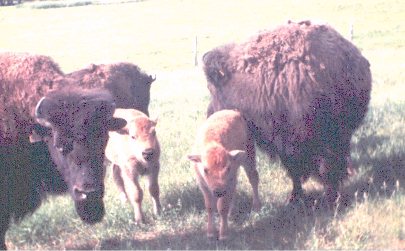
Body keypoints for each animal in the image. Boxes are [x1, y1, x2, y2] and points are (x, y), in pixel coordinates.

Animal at [188, 110, 260, 241]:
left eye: (227, 168)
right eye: (205, 170)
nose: (219, 191)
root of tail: (236, 112)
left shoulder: (228, 182)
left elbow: (222, 207)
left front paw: (223, 235)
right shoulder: (204, 186)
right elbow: (210, 206)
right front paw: (210, 233)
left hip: (248, 158)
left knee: (253, 178)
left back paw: (256, 206)